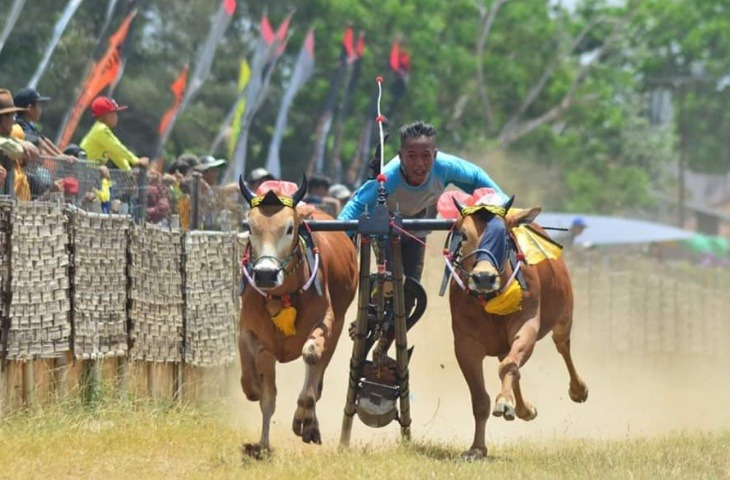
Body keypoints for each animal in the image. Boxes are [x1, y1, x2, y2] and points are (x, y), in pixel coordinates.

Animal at [236, 178, 356, 456]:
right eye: (250, 227)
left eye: (290, 228)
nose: (265, 274)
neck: (281, 296)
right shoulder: (248, 332)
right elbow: (256, 390)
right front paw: (263, 444)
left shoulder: (326, 323)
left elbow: (311, 357)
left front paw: (303, 419)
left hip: (338, 329)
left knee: (316, 381)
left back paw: (309, 424)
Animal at [450, 197, 584, 460]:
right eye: (464, 235)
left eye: (503, 235)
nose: (483, 277)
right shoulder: (465, 344)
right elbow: (480, 399)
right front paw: (477, 448)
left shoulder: (527, 323)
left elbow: (509, 365)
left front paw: (504, 401)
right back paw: (524, 409)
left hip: (564, 316)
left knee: (562, 346)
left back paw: (578, 389)